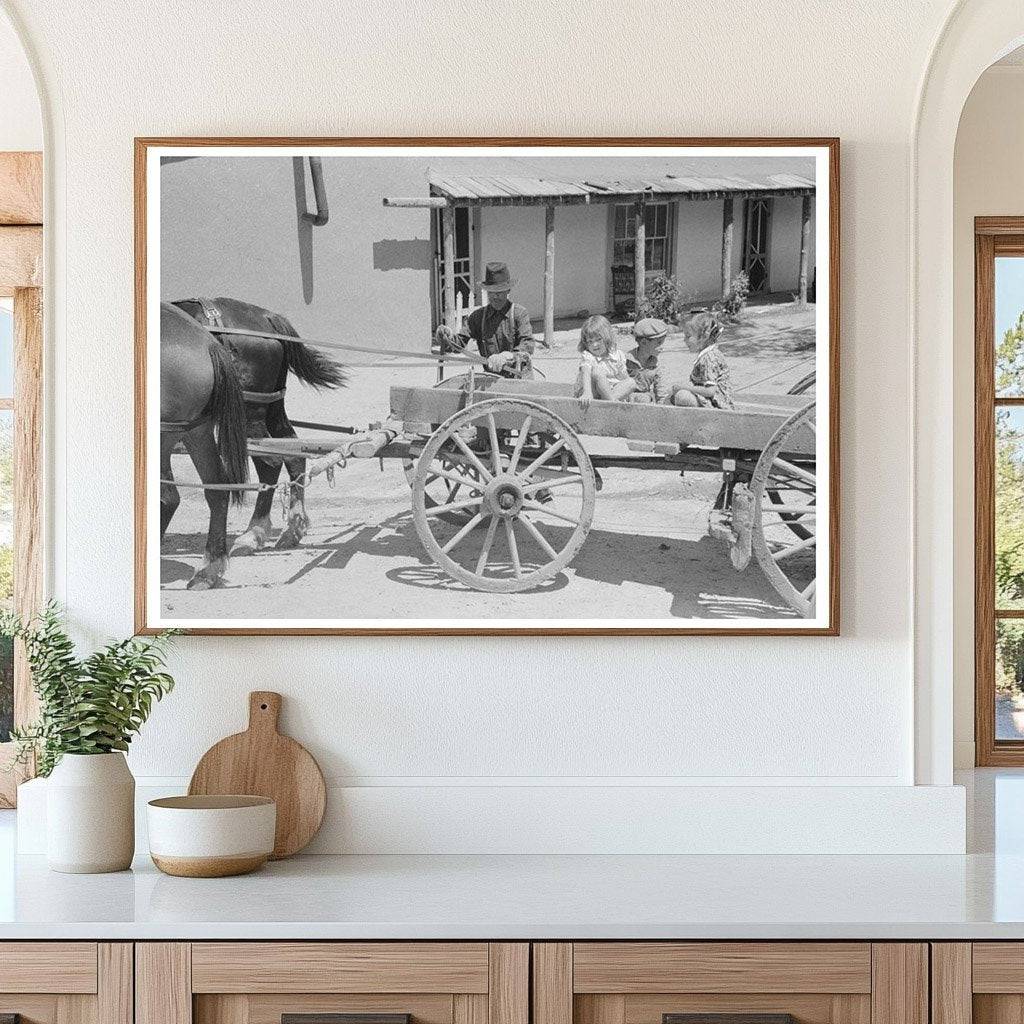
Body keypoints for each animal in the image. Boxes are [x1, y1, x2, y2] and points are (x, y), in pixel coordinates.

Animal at [173, 296, 348, 557]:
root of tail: (267, 317)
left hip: (251, 411)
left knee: (270, 462)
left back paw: (254, 533)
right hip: (273, 406)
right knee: (293, 452)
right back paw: (293, 528)